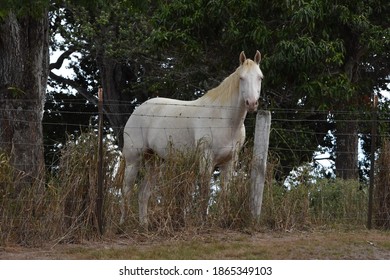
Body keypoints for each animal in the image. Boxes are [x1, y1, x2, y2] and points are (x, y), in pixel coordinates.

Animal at [120, 50, 264, 228]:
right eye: (241, 78)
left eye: (260, 77)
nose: (252, 104)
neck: (224, 119)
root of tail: (138, 110)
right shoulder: (206, 159)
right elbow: (204, 190)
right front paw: (203, 221)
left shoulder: (230, 161)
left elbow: (225, 191)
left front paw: (222, 221)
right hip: (134, 160)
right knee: (126, 190)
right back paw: (122, 224)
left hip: (155, 162)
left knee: (143, 193)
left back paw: (144, 225)